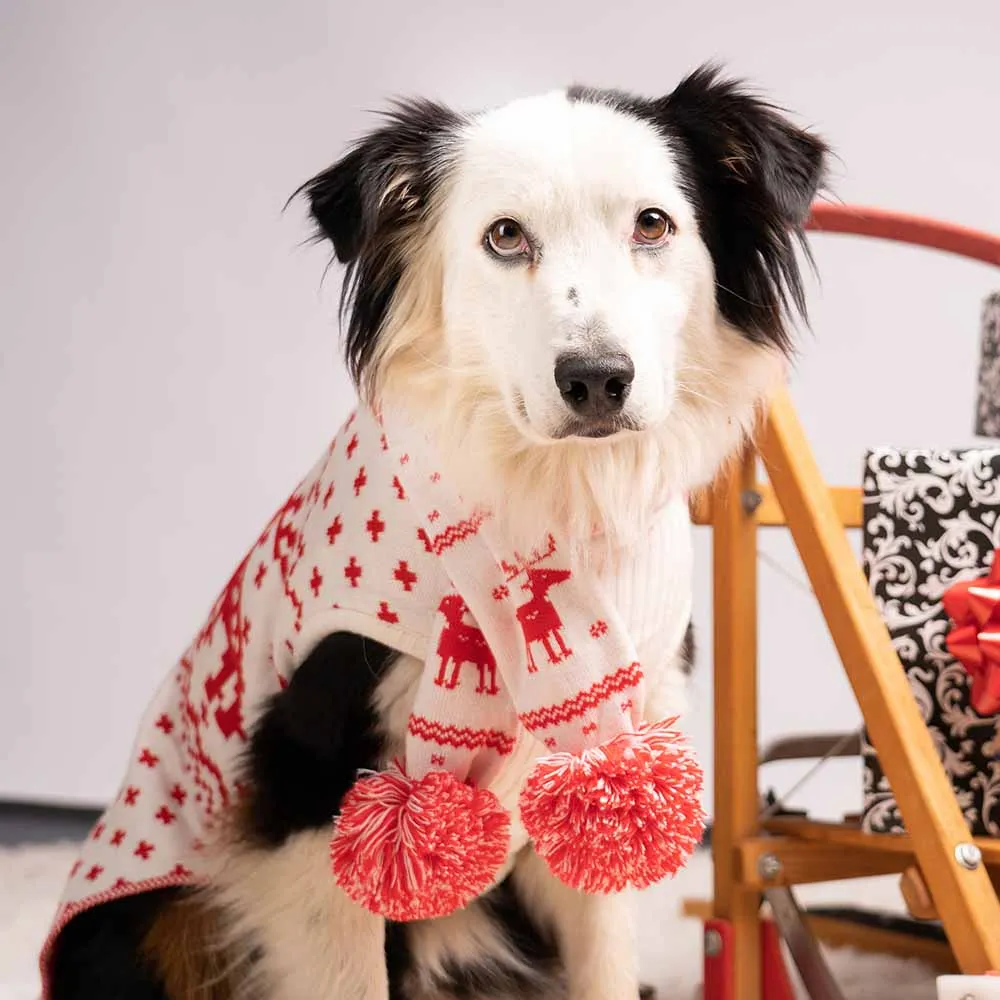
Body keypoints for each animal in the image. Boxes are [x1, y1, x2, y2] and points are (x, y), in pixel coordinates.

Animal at [43, 64, 828, 1000]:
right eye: (505, 236)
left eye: (652, 223)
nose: (597, 379)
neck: (552, 499)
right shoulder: (313, 787)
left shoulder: (609, 753)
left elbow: (605, 959)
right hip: (149, 920)